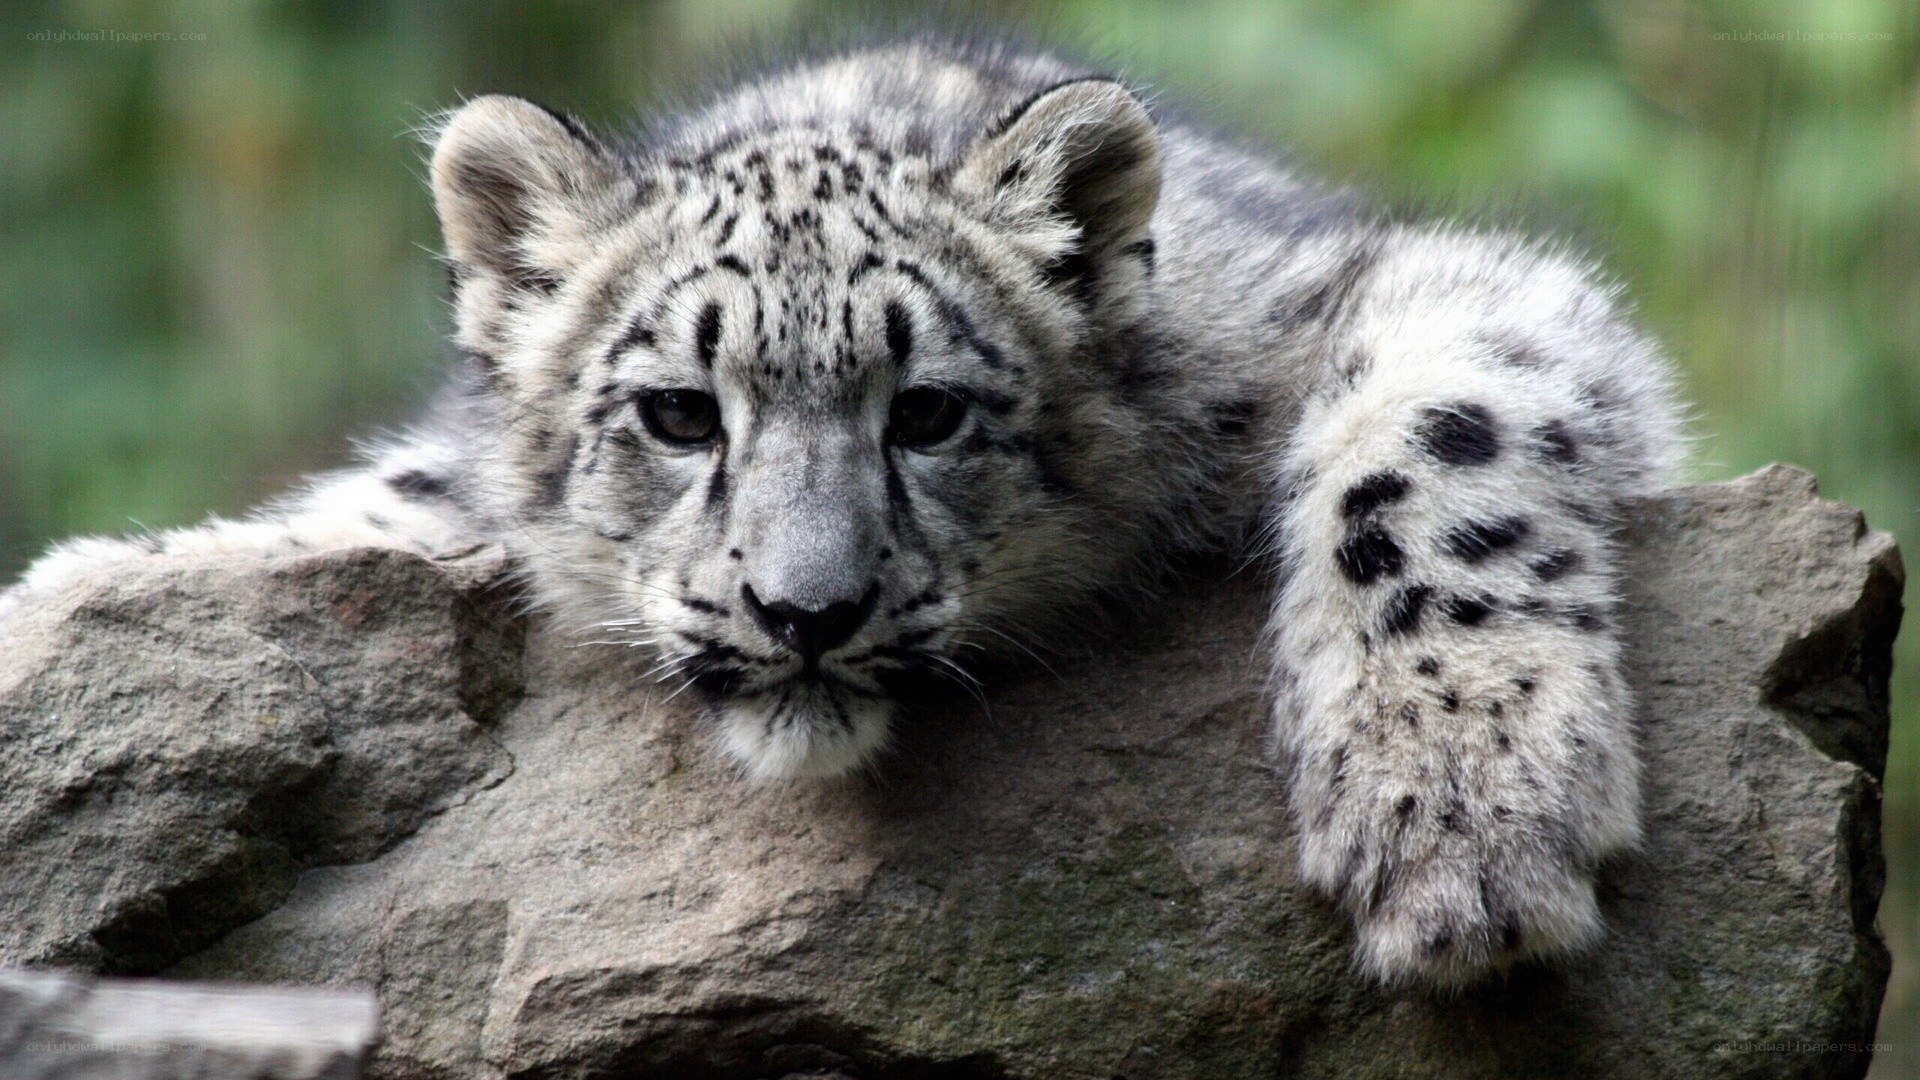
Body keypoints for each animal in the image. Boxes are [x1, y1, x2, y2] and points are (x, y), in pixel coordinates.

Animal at [0, 37, 1685, 990]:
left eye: (926, 409)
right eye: (680, 412)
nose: (804, 611)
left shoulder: (1423, 295)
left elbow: (1432, 443)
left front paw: (1459, 818)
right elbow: (367, 512)